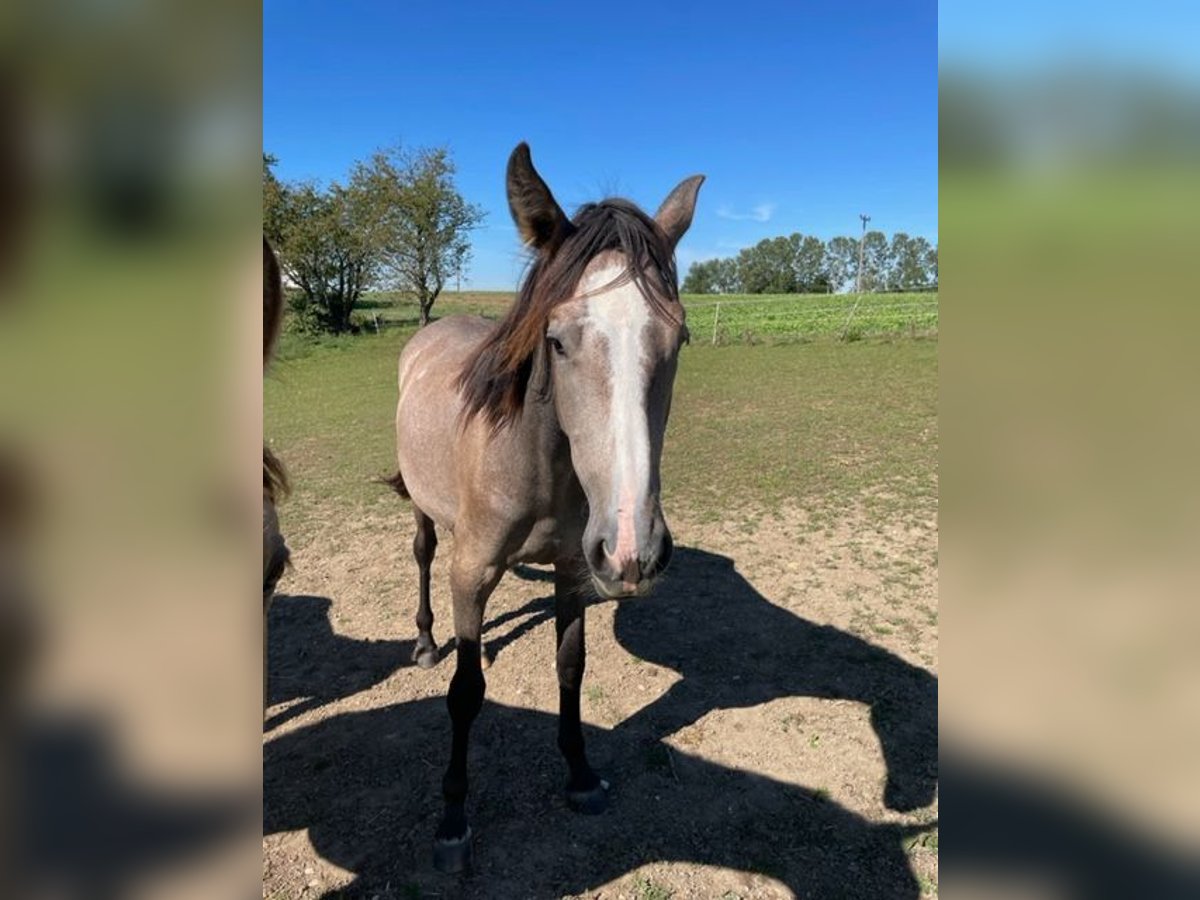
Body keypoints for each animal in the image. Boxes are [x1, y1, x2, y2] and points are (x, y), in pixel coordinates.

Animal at [384, 146, 700, 873]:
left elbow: (571, 666)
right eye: (556, 340)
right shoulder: (471, 570)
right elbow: (466, 693)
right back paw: (425, 641)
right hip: (424, 514)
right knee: (423, 555)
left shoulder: (574, 569)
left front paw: (580, 775)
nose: (634, 548)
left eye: (679, 338)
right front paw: (453, 819)